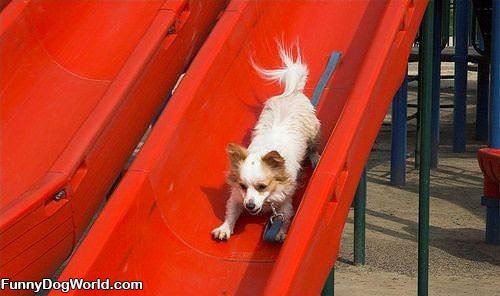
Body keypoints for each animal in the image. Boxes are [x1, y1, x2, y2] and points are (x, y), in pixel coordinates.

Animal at [211, 44, 320, 243]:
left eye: (262, 187)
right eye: (243, 186)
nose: (250, 205)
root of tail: (293, 92)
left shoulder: (285, 202)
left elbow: (285, 216)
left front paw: (279, 232)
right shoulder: (237, 197)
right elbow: (231, 211)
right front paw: (225, 228)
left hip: (314, 130)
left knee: (313, 146)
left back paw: (315, 157)